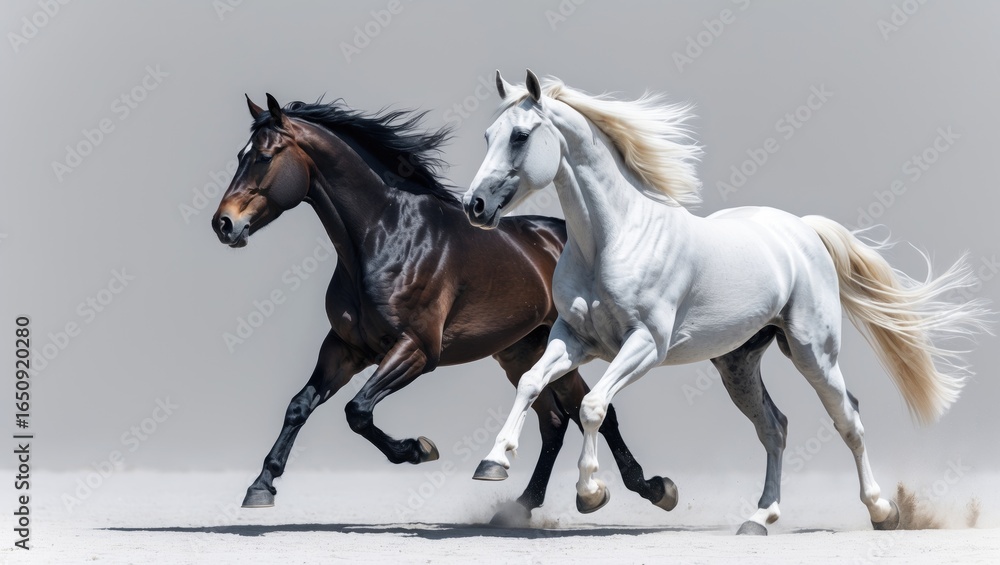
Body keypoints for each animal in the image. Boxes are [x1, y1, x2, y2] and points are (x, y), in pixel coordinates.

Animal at [210, 93, 679, 524]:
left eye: (264, 157)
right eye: (240, 156)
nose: (224, 224)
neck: (385, 236)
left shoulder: (416, 349)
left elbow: (357, 411)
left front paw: (418, 449)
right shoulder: (345, 349)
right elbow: (300, 405)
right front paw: (261, 487)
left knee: (592, 415)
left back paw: (652, 490)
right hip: (525, 352)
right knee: (555, 421)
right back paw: (523, 503)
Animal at [462, 70, 991, 534]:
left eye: (520, 136)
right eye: (488, 134)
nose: (475, 206)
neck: (613, 241)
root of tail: (803, 230)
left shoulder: (645, 345)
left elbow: (593, 407)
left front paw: (591, 493)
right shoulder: (572, 339)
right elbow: (531, 383)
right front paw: (493, 462)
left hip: (813, 353)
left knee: (849, 420)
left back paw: (883, 512)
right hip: (738, 364)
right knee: (775, 428)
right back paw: (759, 519)